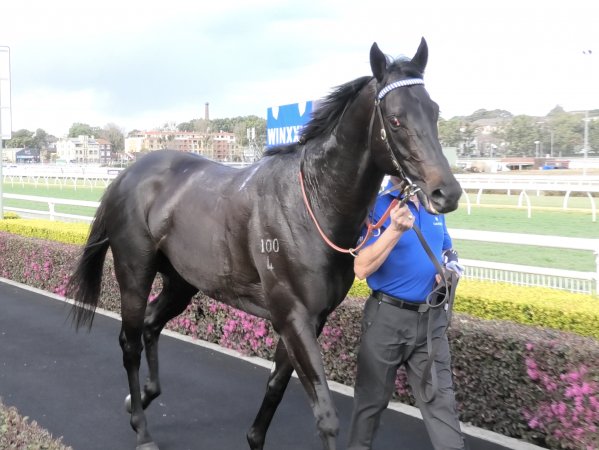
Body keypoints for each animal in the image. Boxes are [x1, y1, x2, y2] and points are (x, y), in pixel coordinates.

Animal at [67, 38, 460, 450]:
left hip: (182, 280)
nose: (447, 192)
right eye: (396, 119)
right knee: (129, 341)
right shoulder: (293, 315)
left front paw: (255, 437)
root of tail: (127, 174)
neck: (314, 203)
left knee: (150, 324)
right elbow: (325, 415)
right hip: (134, 271)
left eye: (434, 111)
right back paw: (142, 429)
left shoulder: (311, 319)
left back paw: (141, 396)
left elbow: (275, 384)